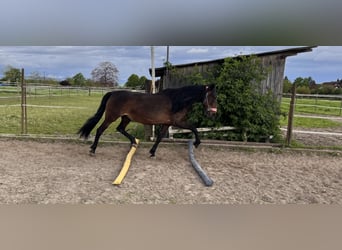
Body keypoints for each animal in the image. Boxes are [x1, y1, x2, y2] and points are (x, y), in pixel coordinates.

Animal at [78, 85, 216, 157]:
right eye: (211, 97)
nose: (212, 113)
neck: (177, 101)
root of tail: (113, 93)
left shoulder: (167, 123)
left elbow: (159, 138)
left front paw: (152, 152)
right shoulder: (178, 122)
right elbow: (194, 127)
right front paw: (197, 143)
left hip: (126, 118)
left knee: (120, 129)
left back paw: (134, 142)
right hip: (111, 117)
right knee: (100, 130)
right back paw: (93, 149)